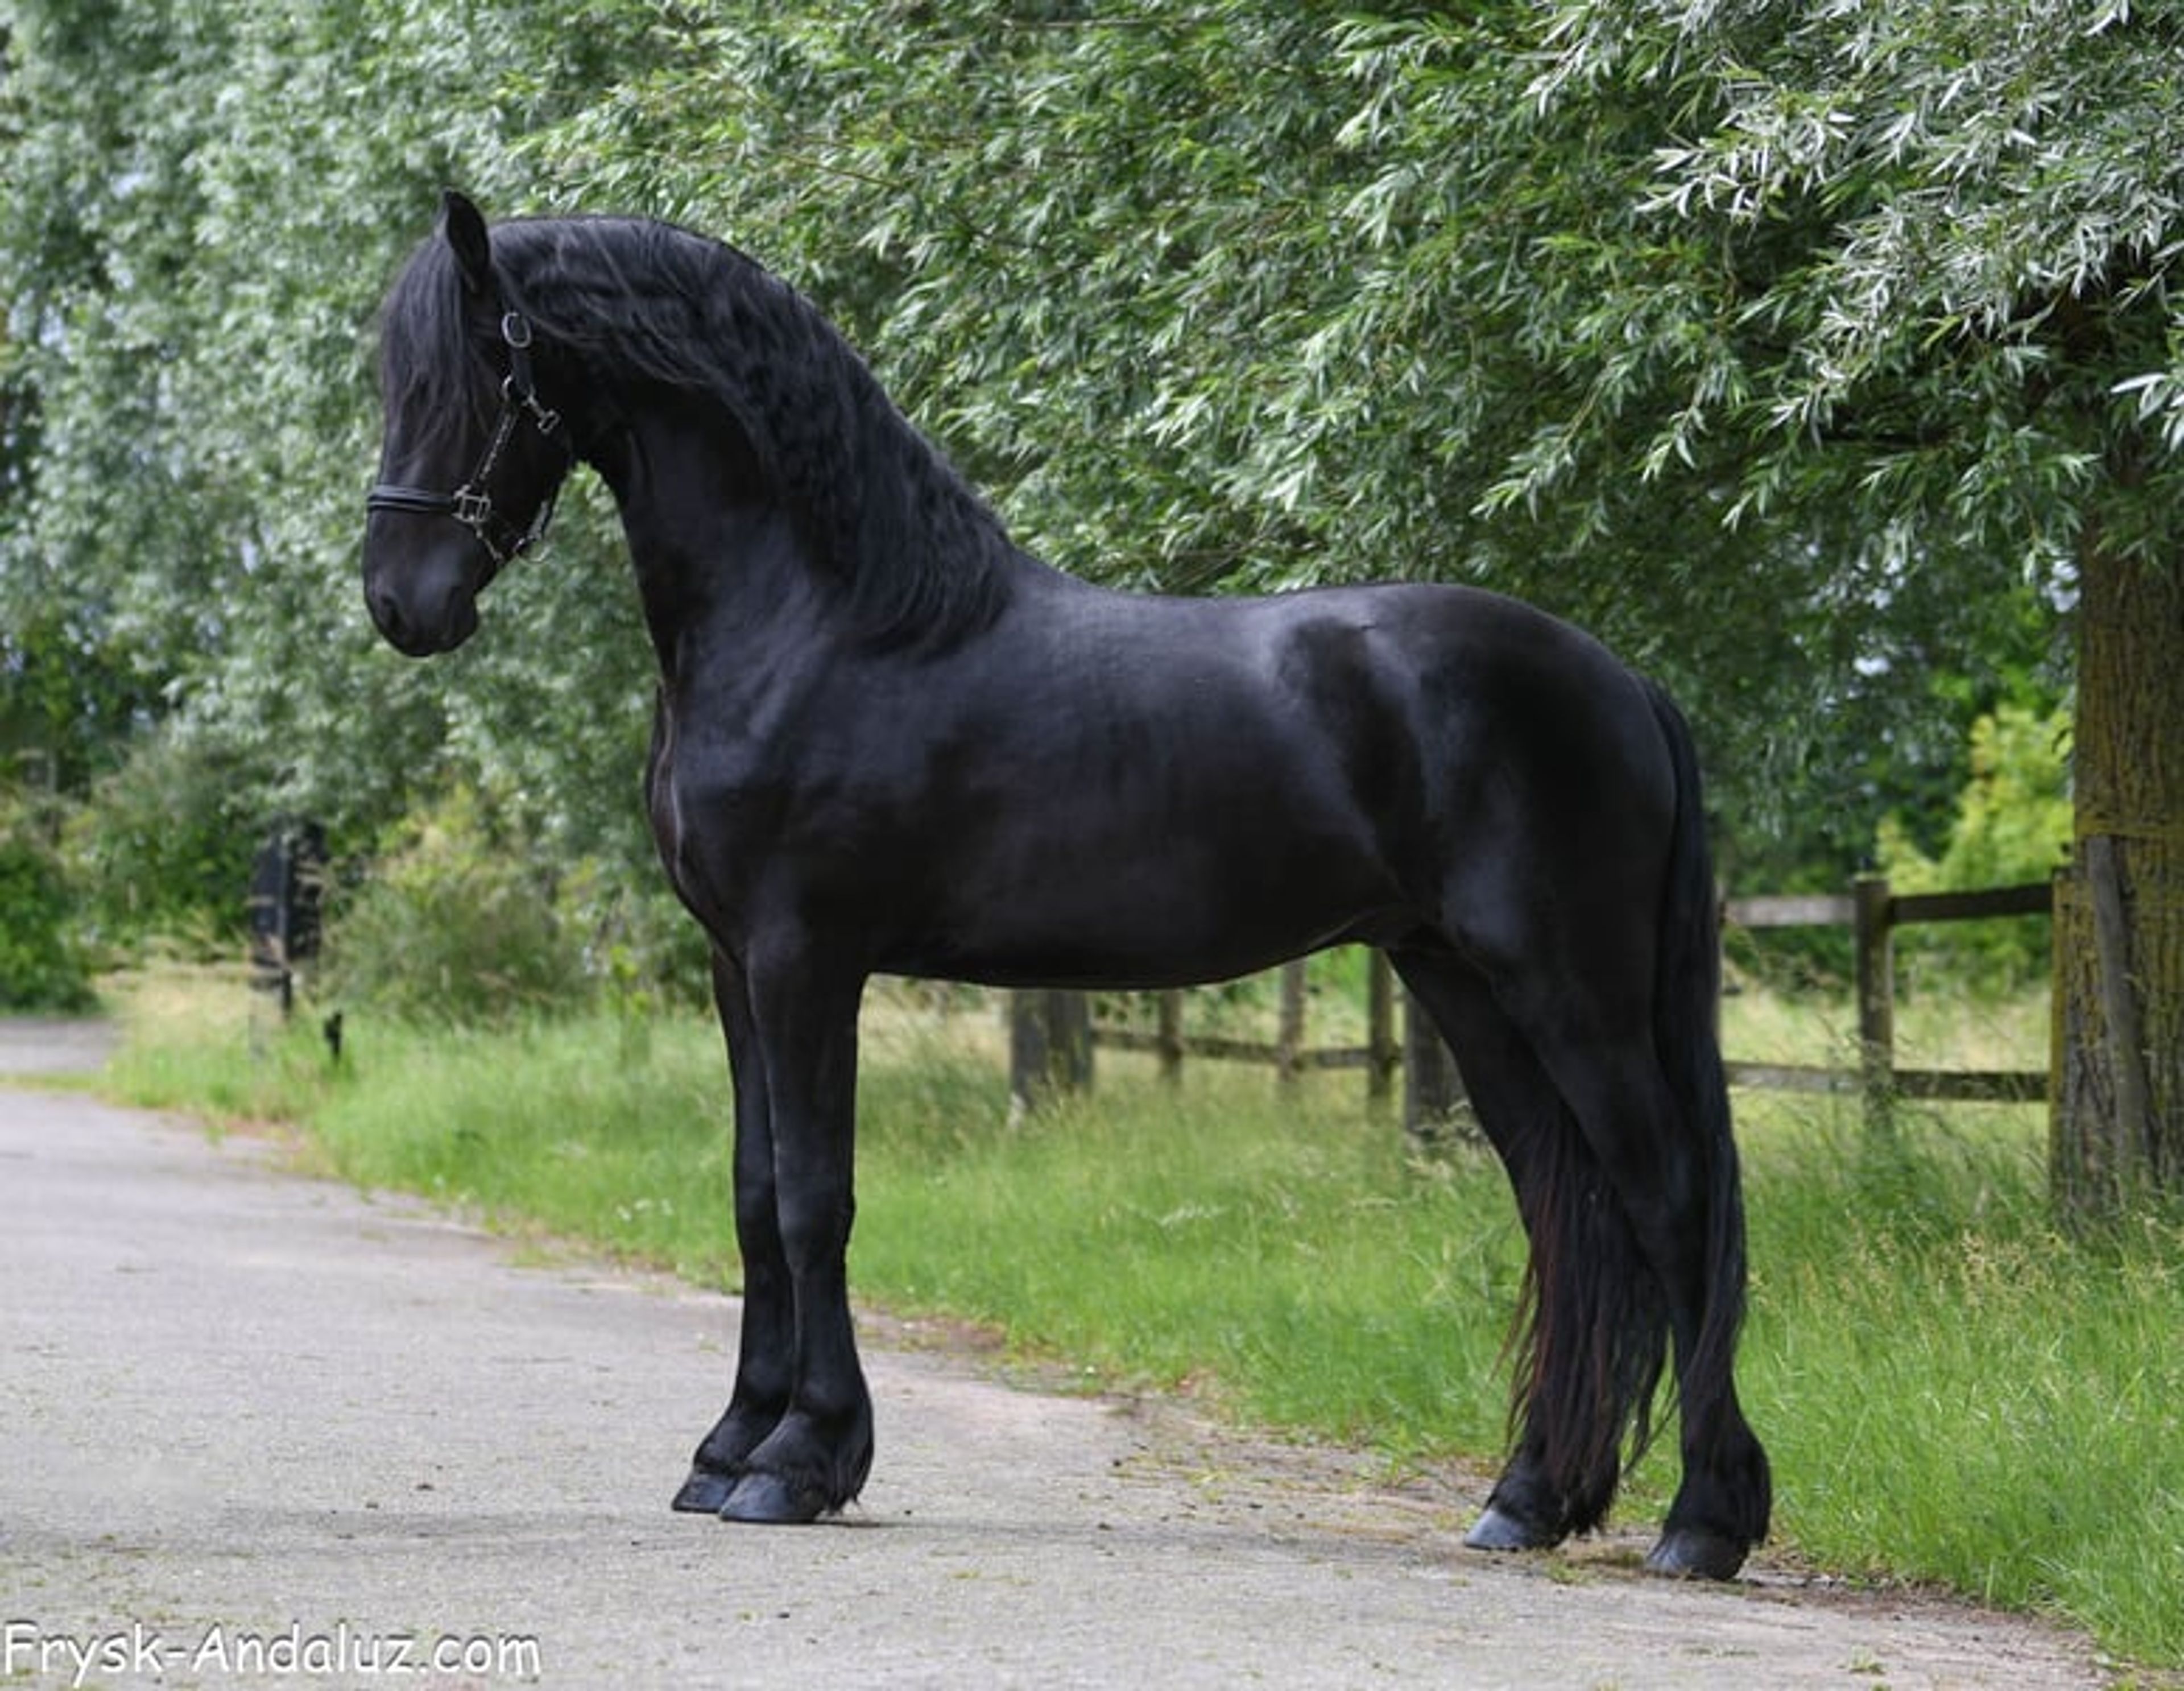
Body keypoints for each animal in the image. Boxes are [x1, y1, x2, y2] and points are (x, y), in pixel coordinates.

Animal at [362, 191, 1772, 1579]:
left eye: (481, 372)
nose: (399, 605)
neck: (827, 621)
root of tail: (1621, 680)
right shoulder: (733, 963)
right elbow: (757, 1197)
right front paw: (727, 1448)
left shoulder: (805, 957)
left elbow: (817, 1199)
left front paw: (800, 1460)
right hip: (1460, 982)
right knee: (1562, 1203)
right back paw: (1530, 1497)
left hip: (1570, 989)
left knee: (1669, 1198)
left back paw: (1703, 1520)